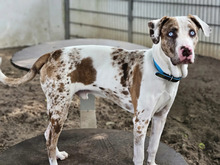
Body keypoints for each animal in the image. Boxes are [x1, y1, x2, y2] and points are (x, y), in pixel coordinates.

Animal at [0, 14, 211, 164]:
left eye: (192, 33)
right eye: (171, 33)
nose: (186, 51)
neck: (163, 72)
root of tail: (52, 53)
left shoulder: (160, 117)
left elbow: (153, 149)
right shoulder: (140, 122)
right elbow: (139, 156)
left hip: (57, 110)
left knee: (47, 134)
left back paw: (58, 154)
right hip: (60, 109)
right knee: (50, 142)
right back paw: (54, 158)